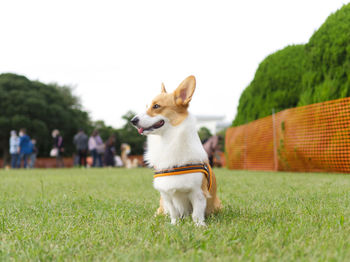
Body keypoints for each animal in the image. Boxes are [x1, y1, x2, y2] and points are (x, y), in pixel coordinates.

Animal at [131, 75, 221, 225]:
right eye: (146, 106)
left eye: (156, 106)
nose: (132, 120)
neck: (167, 141)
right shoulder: (166, 195)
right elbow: (174, 213)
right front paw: (174, 225)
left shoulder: (198, 193)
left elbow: (196, 214)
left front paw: (199, 226)